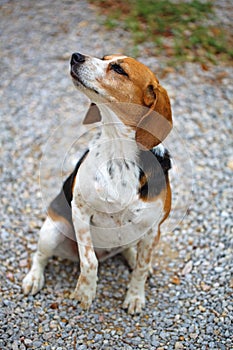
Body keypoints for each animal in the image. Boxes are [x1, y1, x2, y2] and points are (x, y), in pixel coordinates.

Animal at [22, 52, 172, 314]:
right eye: (104, 57)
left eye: (119, 69)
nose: (76, 56)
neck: (119, 152)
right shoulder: (80, 212)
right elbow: (89, 261)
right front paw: (85, 292)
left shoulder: (154, 228)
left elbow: (142, 267)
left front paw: (135, 296)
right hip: (52, 231)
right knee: (40, 256)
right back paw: (34, 278)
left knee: (133, 252)